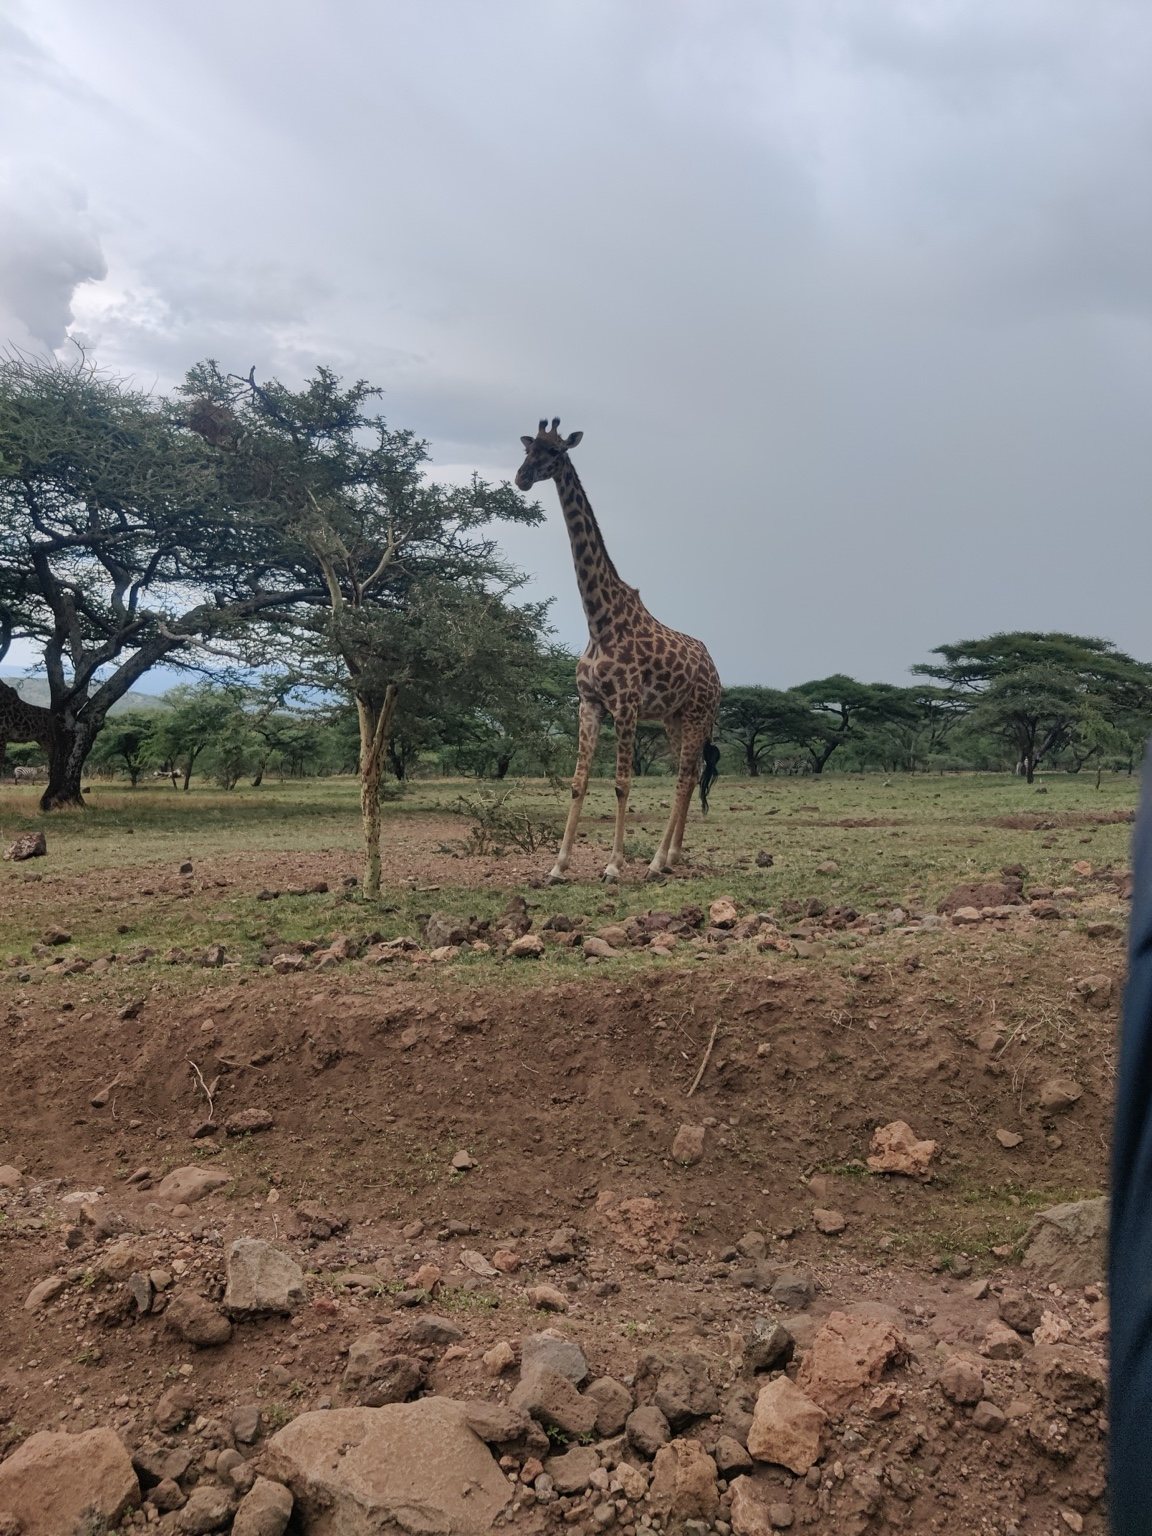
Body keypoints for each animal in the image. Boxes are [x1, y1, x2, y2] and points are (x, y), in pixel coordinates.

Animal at [516, 418, 722, 883]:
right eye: (527, 448)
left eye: (555, 452)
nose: (521, 478)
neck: (599, 620)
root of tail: (717, 671)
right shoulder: (589, 703)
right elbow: (578, 783)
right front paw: (558, 867)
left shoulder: (626, 705)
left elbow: (622, 784)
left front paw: (613, 865)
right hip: (673, 718)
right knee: (690, 773)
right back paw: (673, 855)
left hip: (699, 715)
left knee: (684, 776)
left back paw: (657, 862)